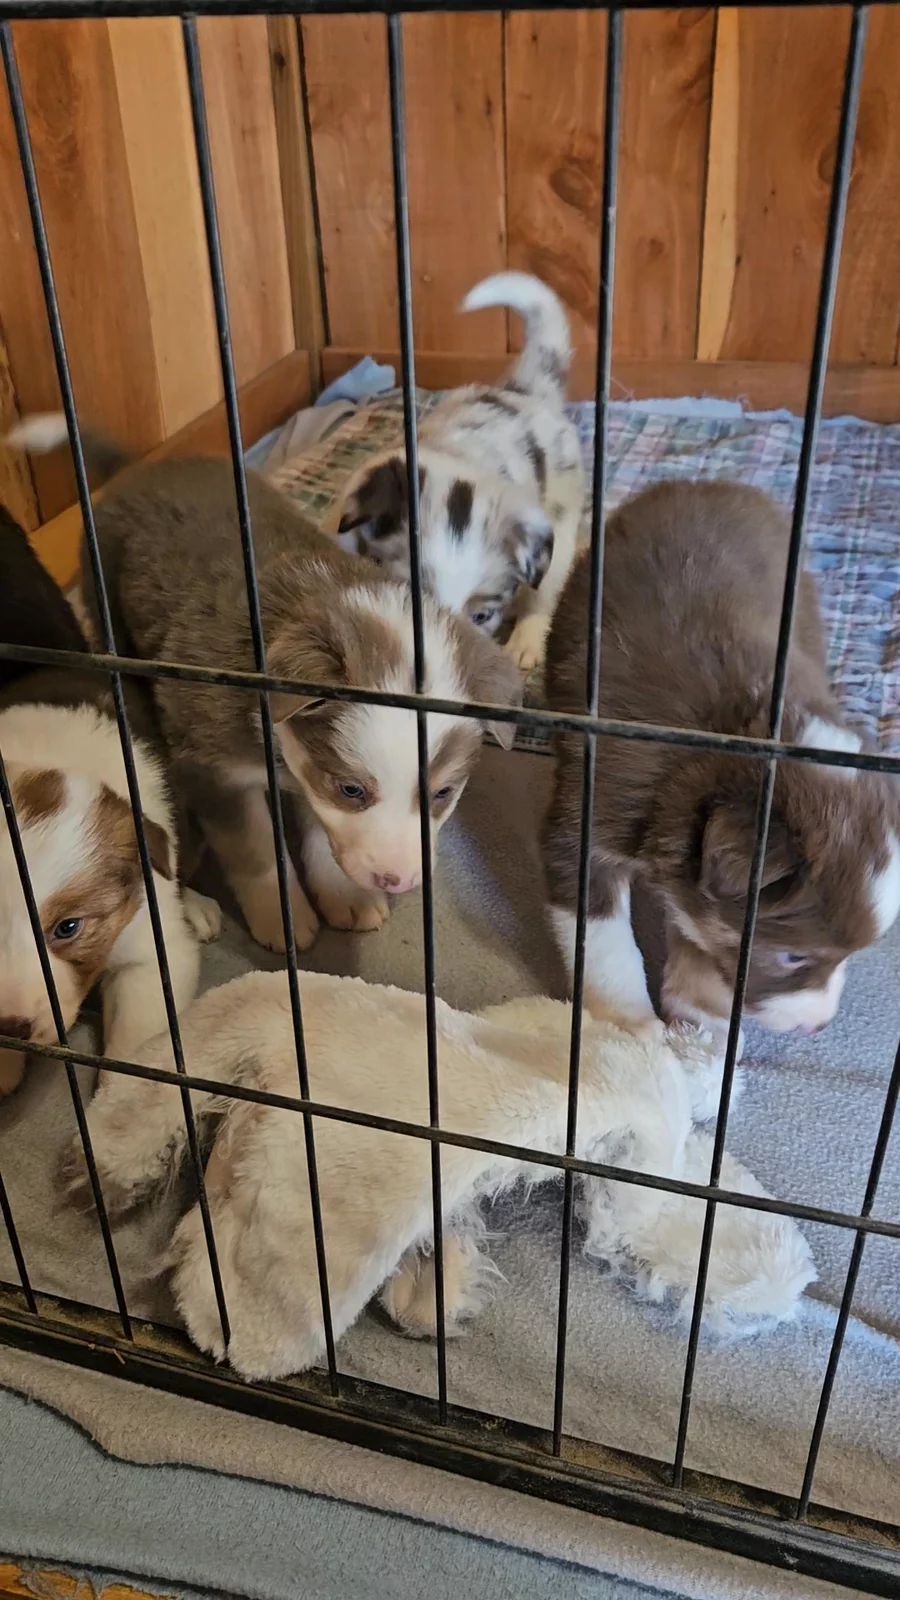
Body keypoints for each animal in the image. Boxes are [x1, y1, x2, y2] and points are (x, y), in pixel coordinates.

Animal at [9, 422, 523, 953]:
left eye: (443, 793)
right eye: (352, 789)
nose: (398, 880)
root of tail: (144, 464)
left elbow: (319, 831)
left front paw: (344, 896)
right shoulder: (215, 772)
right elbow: (254, 851)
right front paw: (283, 915)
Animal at [71, 970, 814, 1380]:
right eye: (740, 1308)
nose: (794, 1298)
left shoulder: (544, 1021)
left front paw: (438, 1281)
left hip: (227, 1029)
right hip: (307, 1271)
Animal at [542, 480, 900, 1045]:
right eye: (794, 956)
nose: (816, 1026)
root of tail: (709, 483)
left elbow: (698, 923)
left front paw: (699, 1012)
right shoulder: (595, 807)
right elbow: (601, 940)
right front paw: (630, 1024)